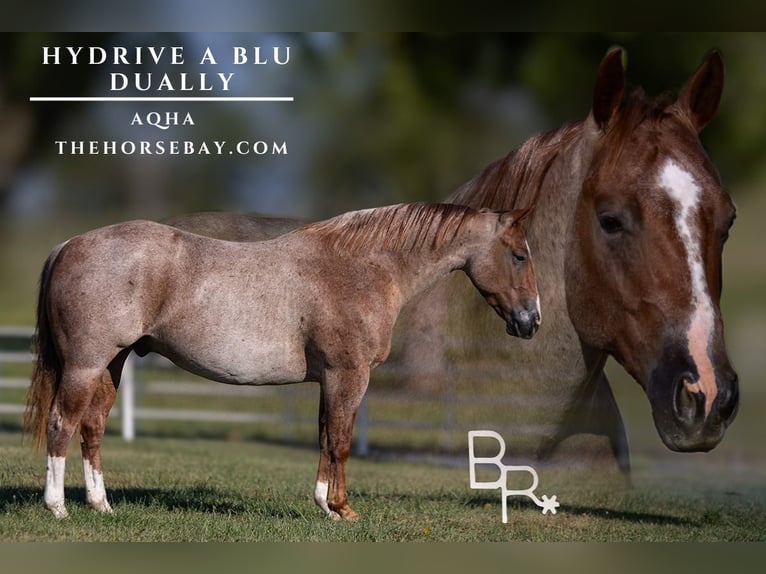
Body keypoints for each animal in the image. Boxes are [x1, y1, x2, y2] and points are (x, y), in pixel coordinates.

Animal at [24, 202, 540, 521]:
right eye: (518, 255)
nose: (532, 320)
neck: (364, 269)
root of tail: (68, 245)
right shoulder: (348, 375)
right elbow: (342, 442)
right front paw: (344, 509)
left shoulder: (328, 379)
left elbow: (325, 438)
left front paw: (324, 505)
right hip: (85, 365)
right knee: (61, 424)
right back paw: (58, 507)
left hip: (112, 363)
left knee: (92, 428)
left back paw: (101, 505)